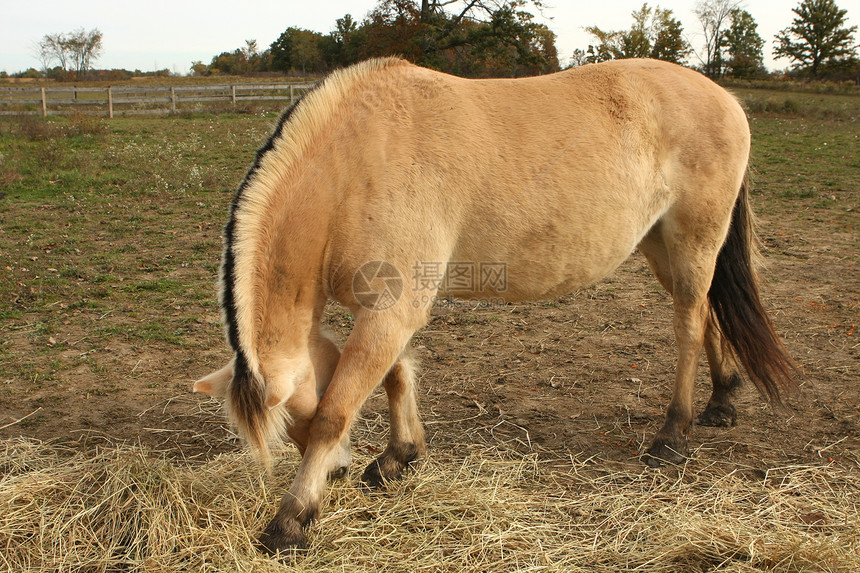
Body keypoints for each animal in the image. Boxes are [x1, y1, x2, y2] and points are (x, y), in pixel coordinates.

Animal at [191, 55, 796, 552]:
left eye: (294, 417)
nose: (336, 473)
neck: (353, 165)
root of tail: (724, 98)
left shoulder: (390, 312)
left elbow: (339, 410)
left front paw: (290, 521)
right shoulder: (392, 309)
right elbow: (396, 377)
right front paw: (397, 458)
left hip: (693, 241)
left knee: (689, 328)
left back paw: (673, 434)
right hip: (662, 245)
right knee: (708, 313)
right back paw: (721, 400)